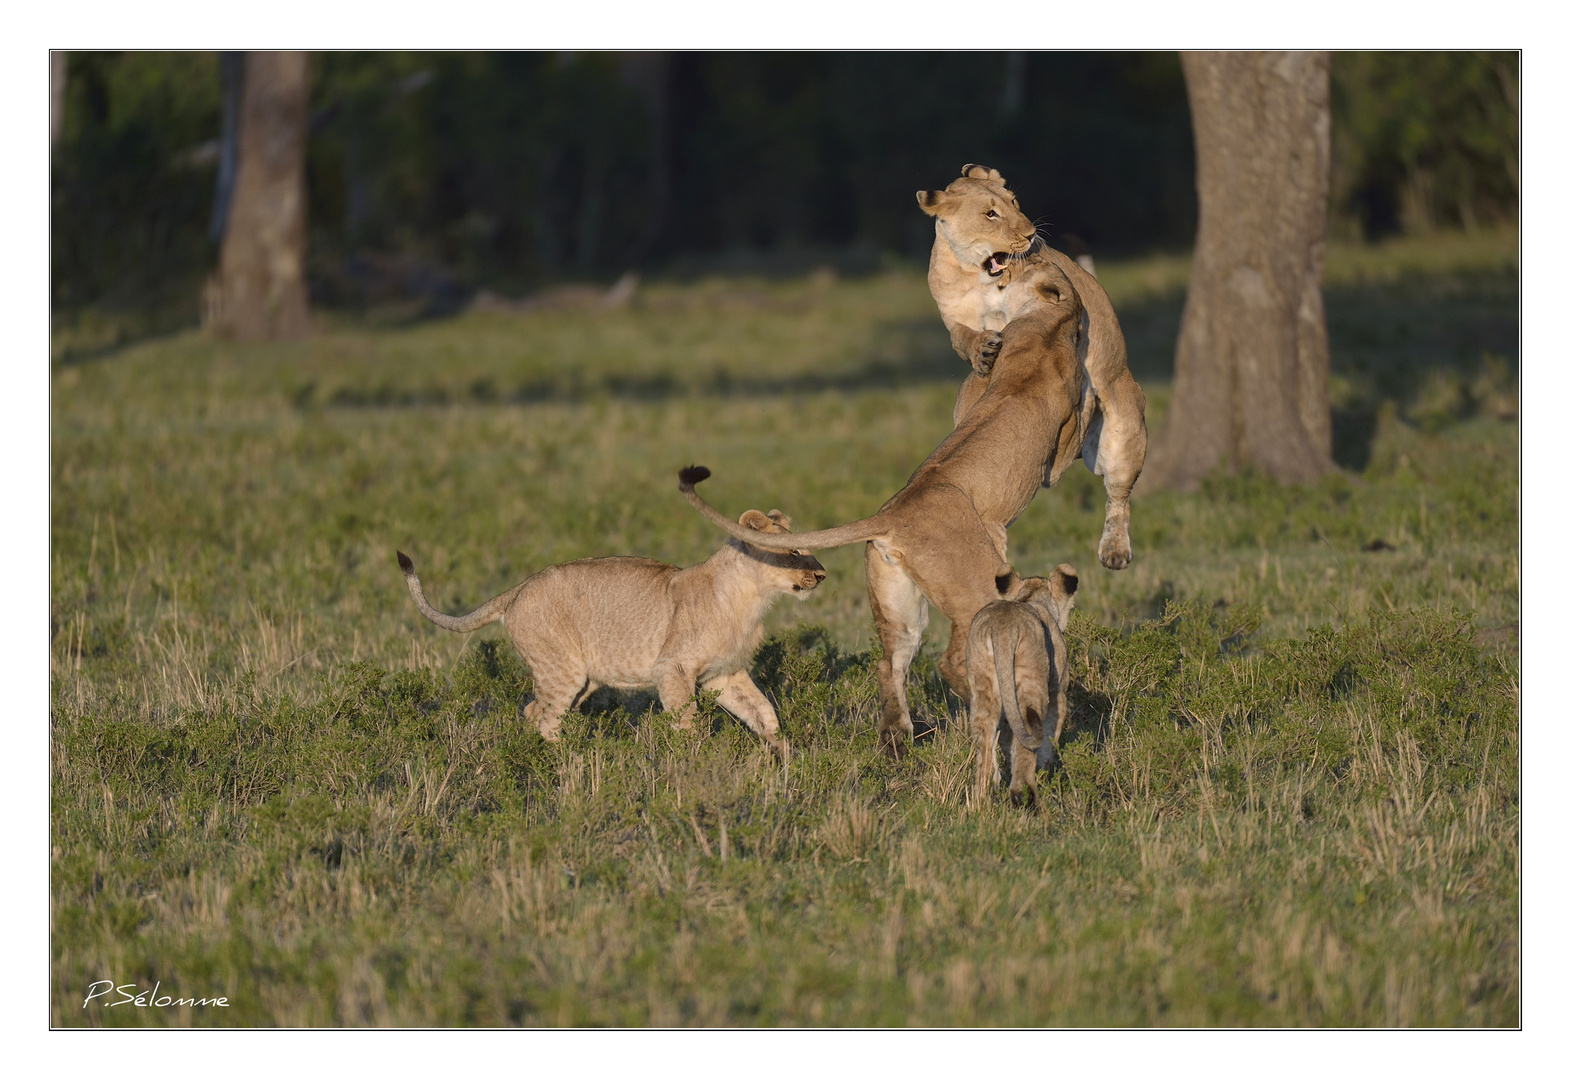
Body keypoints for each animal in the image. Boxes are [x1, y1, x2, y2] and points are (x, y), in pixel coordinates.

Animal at [399, 515, 829, 760]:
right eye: (794, 551)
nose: (822, 575)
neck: (752, 595)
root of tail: (519, 588)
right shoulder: (672, 668)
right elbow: (687, 721)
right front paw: (696, 763)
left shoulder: (724, 673)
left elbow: (764, 713)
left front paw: (791, 759)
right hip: (562, 670)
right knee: (545, 719)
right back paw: (568, 762)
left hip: (584, 680)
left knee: (533, 712)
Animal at [678, 259, 1093, 760]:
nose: (1008, 258)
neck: (1041, 329)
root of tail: (894, 512)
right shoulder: (1063, 440)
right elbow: (1082, 423)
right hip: (983, 580)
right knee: (953, 659)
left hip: (898, 602)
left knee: (890, 662)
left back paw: (897, 741)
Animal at [967, 565, 1080, 801]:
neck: (1030, 598)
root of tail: (1003, 627)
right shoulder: (1058, 693)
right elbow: (1050, 738)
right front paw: (1045, 772)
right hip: (1031, 682)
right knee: (1030, 733)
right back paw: (1025, 796)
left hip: (983, 687)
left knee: (985, 746)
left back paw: (981, 801)